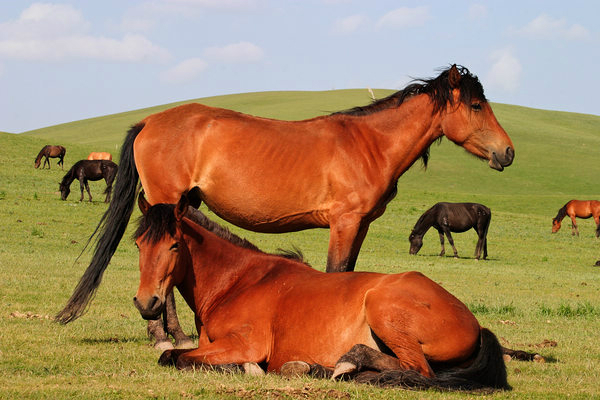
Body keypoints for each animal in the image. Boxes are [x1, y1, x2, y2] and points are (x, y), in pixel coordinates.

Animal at [57, 64, 516, 326]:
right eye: (476, 105)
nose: (508, 152)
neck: (369, 143)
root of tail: (150, 122)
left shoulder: (361, 226)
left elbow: (349, 273)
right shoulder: (343, 223)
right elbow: (336, 273)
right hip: (164, 206)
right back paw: (170, 337)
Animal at [135, 194, 510, 390]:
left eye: (174, 245)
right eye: (138, 243)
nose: (146, 303)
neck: (238, 282)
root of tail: (475, 324)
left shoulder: (245, 344)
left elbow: (176, 358)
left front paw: (247, 369)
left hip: (382, 307)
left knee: (416, 371)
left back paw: (349, 360)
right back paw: (320, 368)